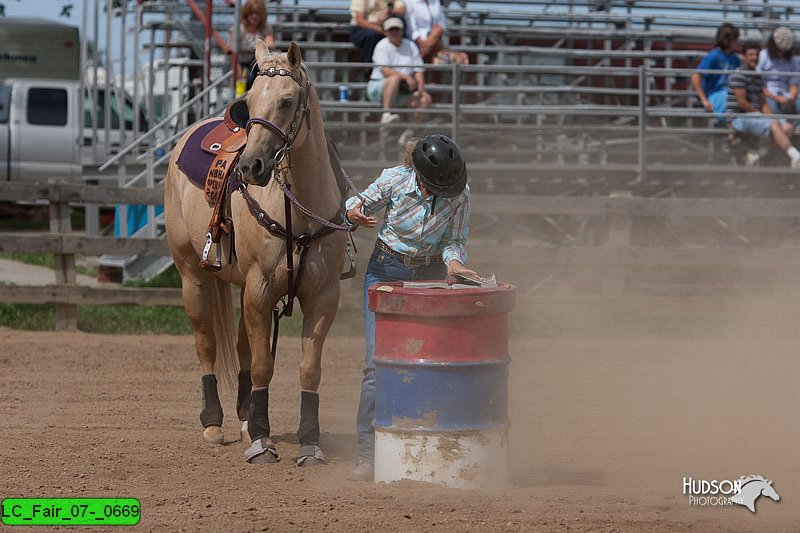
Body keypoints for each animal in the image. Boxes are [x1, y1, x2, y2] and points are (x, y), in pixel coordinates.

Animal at [162, 41, 346, 464]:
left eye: (287, 100)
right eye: (250, 101)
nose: (250, 166)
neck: (297, 208)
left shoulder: (323, 296)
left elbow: (308, 369)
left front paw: (308, 442)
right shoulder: (261, 291)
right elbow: (264, 365)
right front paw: (262, 442)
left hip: (244, 288)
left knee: (243, 347)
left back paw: (246, 418)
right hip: (192, 276)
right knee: (207, 344)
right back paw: (214, 423)